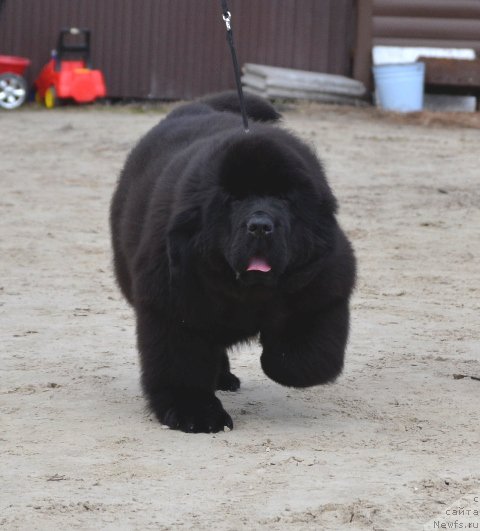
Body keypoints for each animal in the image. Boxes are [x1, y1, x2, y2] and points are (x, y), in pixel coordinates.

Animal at [110, 92, 354, 432]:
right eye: (234, 200)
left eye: (284, 199)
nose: (260, 225)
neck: (248, 292)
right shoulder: (174, 308)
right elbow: (181, 365)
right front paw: (195, 414)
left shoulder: (322, 292)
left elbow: (305, 359)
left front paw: (275, 358)